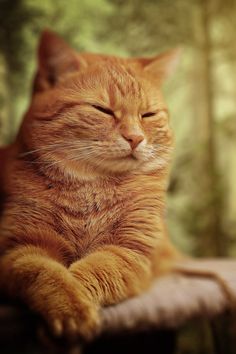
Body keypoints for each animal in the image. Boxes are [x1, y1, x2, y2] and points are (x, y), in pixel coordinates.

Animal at [0, 31, 181, 340]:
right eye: (102, 110)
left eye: (148, 115)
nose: (135, 138)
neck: (92, 188)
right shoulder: (19, 248)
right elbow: (49, 274)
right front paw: (69, 307)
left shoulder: (129, 252)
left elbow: (92, 272)